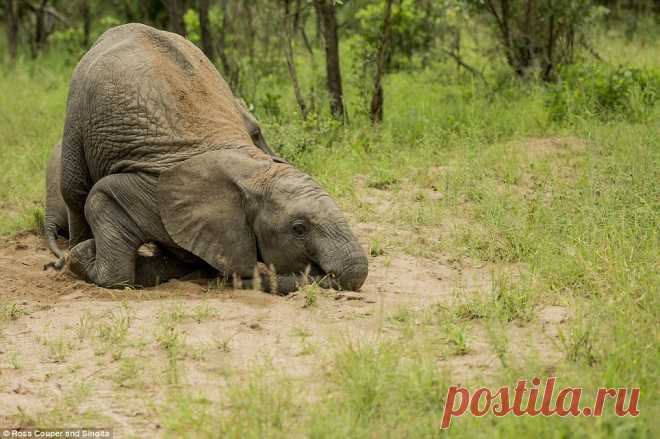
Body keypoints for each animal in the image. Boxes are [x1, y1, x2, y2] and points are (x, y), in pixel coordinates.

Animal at [58, 23, 367, 293]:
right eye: (299, 228)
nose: (325, 275)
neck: (251, 170)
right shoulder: (154, 192)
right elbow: (104, 198)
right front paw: (83, 256)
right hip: (76, 109)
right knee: (75, 190)